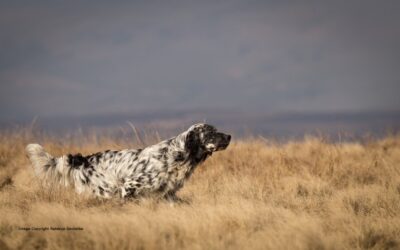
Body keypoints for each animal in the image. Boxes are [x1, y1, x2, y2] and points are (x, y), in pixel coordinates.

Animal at [25, 124, 231, 200]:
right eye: (211, 132)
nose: (229, 136)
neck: (178, 154)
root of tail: (84, 160)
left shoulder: (167, 194)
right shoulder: (129, 187)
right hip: (106, 191)